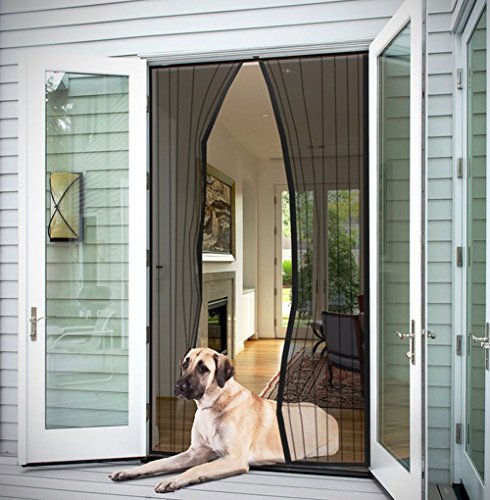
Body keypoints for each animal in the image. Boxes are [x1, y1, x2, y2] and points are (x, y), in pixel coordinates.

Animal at [110, 347, 339, 493]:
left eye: (203, 368)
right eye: (185, 364)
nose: (178, 386)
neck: (212, 406)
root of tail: (328, 415)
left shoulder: (234, 458)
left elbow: (196, 468)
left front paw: (173, 481)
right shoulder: (195, 452)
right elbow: (158, 462)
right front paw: (129, 471)